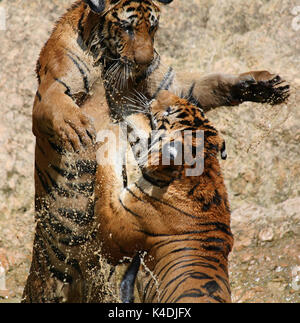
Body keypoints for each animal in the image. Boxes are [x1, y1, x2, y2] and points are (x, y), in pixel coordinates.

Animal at [22, 0, 290, 304]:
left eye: (153, 27)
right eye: (125, 27)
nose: (144, 62)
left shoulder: (171, 86)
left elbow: (210, 83)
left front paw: (263, 86)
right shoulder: (50, 89)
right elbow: (60, 105)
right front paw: (79, 126)